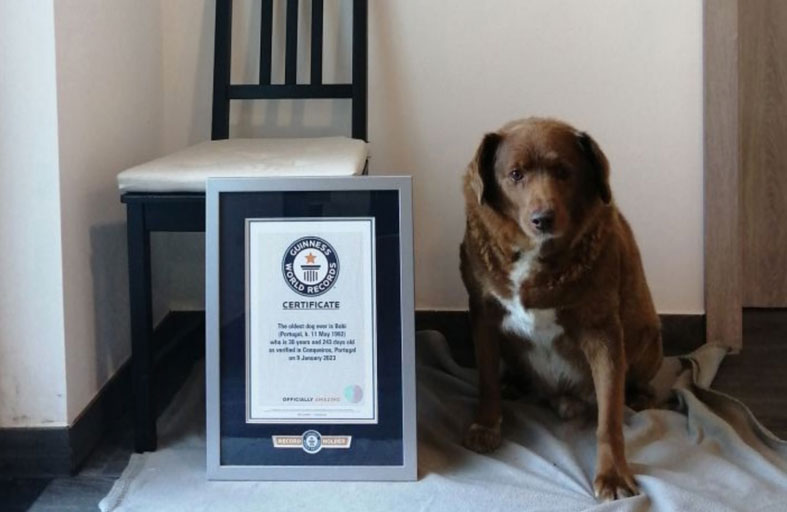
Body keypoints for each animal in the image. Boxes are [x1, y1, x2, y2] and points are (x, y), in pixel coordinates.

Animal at [459, 117, 663, 501]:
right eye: (516, 174)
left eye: (564, 172)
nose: (543, 218)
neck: (534, 255)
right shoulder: (483, 314)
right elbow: (486, 379)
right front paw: (485, 424)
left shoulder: (603, 332)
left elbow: (609, 417)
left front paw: (613, 475)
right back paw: (513, 384)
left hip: (647, 337)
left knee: (636, 385)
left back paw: (639, 397)